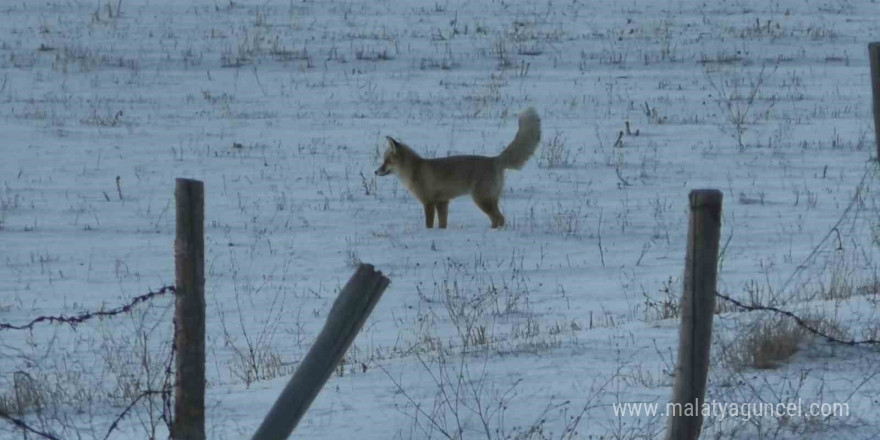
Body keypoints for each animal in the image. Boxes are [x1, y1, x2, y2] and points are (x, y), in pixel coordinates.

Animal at [374, 108, 540, 229]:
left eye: (386, 161)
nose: (375, 172)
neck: (415, 170)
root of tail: (495, 159)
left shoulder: (429, 202)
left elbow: (429, 224)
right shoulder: (442, 202)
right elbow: (442, 224)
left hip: (482, 199)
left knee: (499, 218)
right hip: (488, 200)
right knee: (499, 218)